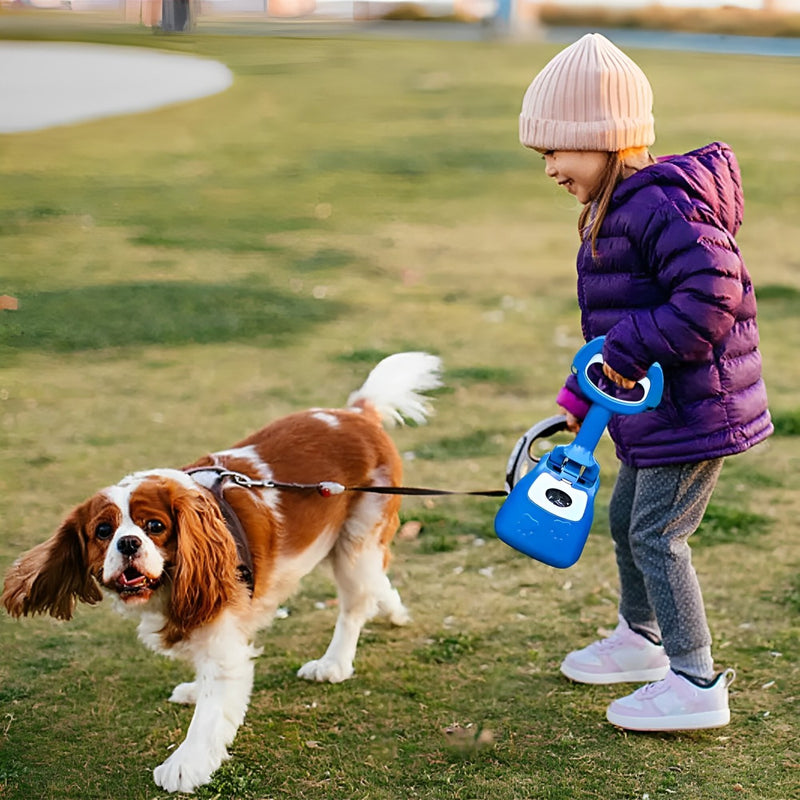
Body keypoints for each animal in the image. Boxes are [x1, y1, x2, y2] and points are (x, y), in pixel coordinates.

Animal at [1, 354, 438, 792]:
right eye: (103, 532)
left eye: (154, 526)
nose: (128, 544)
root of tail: (356, 413)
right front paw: (196, 689)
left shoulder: (221, 629)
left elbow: (212, 708)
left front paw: (184, 764)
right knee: (375, 582)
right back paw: (392, 611)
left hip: (354, 543)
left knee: (353, 605)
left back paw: (334, 664)